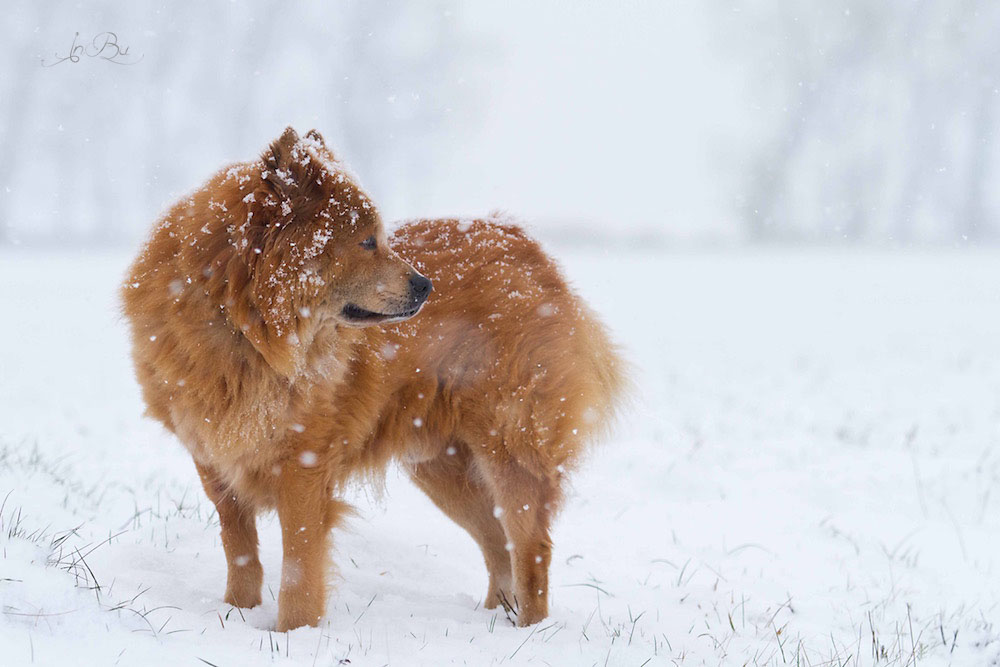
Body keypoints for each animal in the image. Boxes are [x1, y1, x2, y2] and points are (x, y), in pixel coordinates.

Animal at [123, 126, 624, 632]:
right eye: (366, 242)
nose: (425, 285)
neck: (245, 330)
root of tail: (522, 244)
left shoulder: (303, 466)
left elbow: (298, 573)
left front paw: (294, 634)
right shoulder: (216, 462)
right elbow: (240, 553)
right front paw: (236, 615)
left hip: (509, 448)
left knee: (530, 549)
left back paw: (530, 631)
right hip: (442, 467)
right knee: (497, 543)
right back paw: (495, 621)